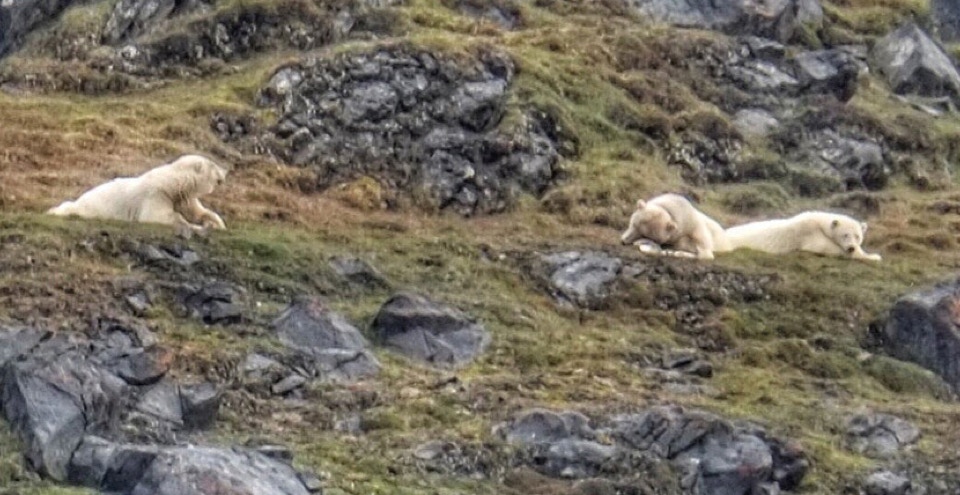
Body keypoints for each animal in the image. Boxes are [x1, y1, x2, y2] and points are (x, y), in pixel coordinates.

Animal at [47, 154, 228, 235]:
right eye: (213, 165)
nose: (225, 171)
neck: (173, 184)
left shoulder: (183, 197)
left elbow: (199, 212)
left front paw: (215, 223)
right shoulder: (156, 195)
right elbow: (158, 216)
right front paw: (194, 226)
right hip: (87, 208)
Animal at [725, 211, 882, 262]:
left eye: (857, 236)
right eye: (845, 235)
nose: (851, 248)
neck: (819, 222)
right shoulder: (808, 232)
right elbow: (824, 247)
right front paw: (874, 257)